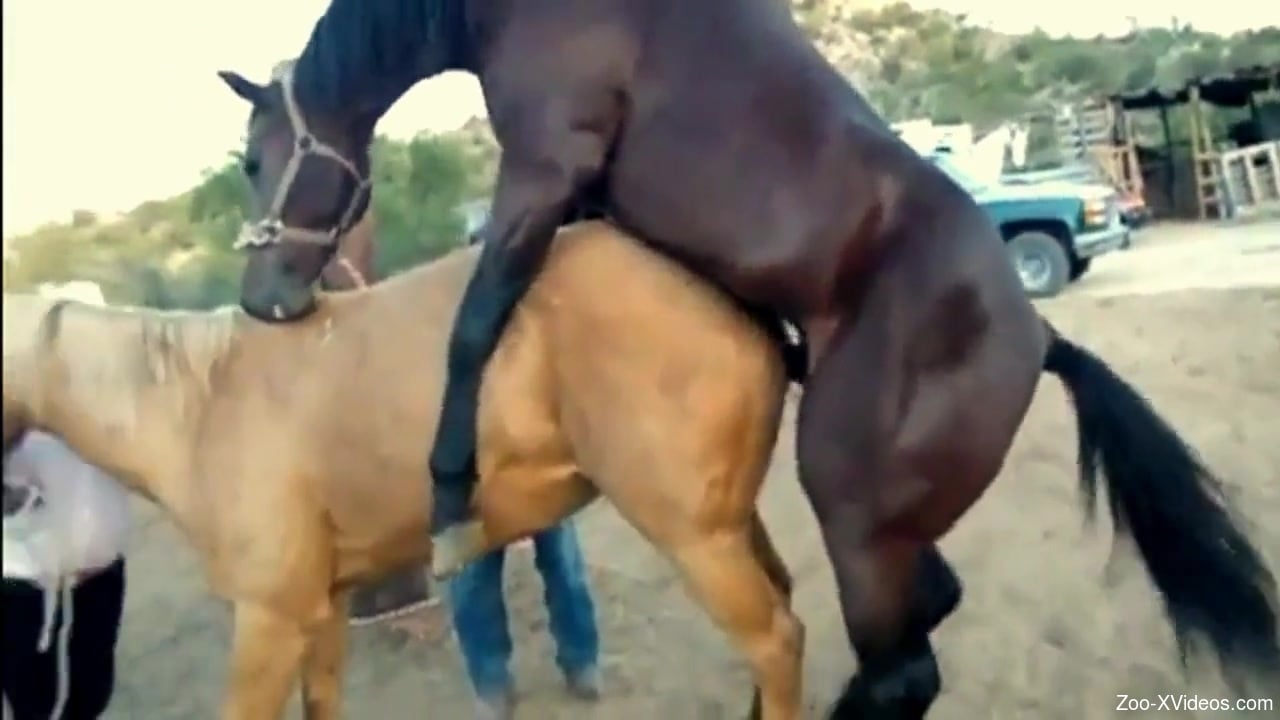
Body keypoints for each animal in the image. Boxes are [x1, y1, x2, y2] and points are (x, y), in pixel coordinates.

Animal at [2, 221, 803, 720]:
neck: (198, 406)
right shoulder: (324, 610)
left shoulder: (268, 620)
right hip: (732, 522)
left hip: (698, 538)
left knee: (776, 642)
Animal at [214, 0, 1280, 714]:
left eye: (257, 159)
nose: (264, 298)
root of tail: (1042, 336)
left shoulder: (544, 174)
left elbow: (474, 325)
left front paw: (449, 496)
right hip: (886, 527)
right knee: (921, 619)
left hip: (854, 514)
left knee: (901, 667)